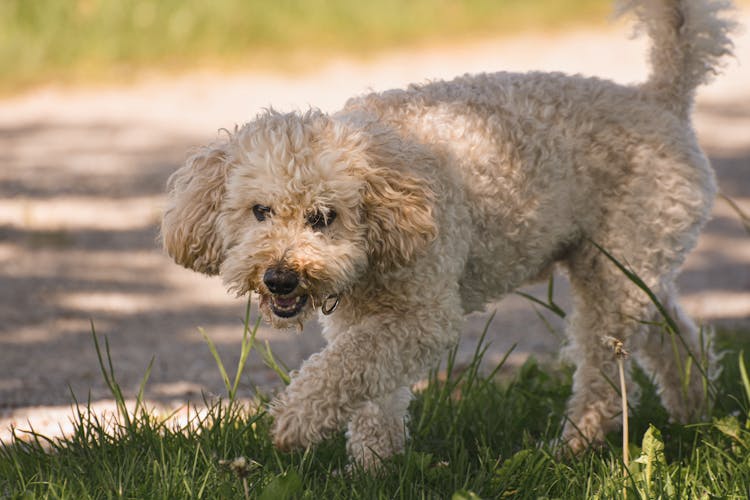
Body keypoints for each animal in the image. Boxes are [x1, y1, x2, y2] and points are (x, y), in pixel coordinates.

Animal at [163, 0, 736, 468]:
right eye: (259, 211)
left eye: (324, 217)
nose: (280, 278)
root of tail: (659, 97)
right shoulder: (363, 320)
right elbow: (369, 385)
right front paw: (375, 464)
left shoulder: (422, 315)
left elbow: (344, 369)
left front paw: (296, 422)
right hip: (625, 265)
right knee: (672, 333)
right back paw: (695, 405)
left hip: (616, 270)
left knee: (603, 372)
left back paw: (577, 444)